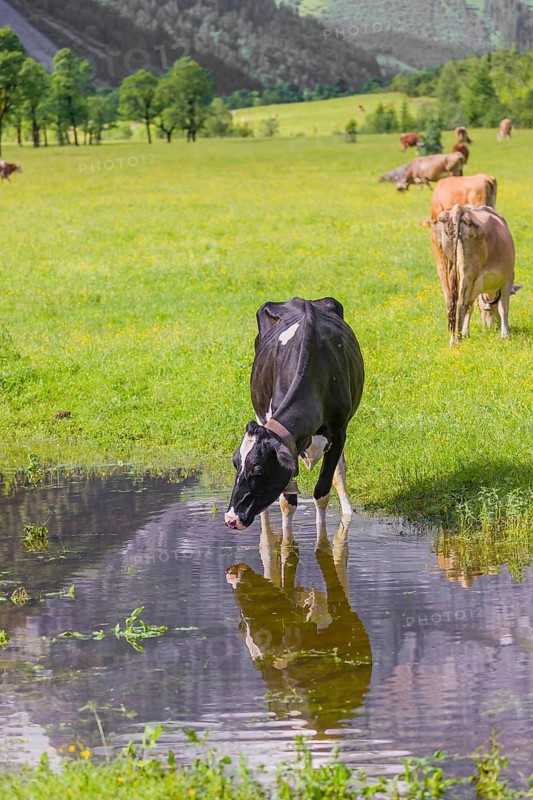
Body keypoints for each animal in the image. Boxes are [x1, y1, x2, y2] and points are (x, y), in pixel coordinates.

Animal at [225, 297, 364, 545]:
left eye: (257, 469)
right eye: (235, 464)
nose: (231, 519)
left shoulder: (339, 433)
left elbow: (322, 491)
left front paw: (323, 544)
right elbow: (287, 502)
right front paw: (287, 545)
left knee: (340, 472)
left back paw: (347, 511)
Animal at [430, 204, 522, 344]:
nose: (493, 328)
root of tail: (459, 209)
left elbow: (471, 307)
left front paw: (466, 332)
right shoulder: (508, 278)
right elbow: (503, 307)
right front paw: (505, 334)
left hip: (443, 269)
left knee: (450, 305)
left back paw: (452, 340)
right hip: (468, 273)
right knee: (460, 304)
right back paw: (458, 341)